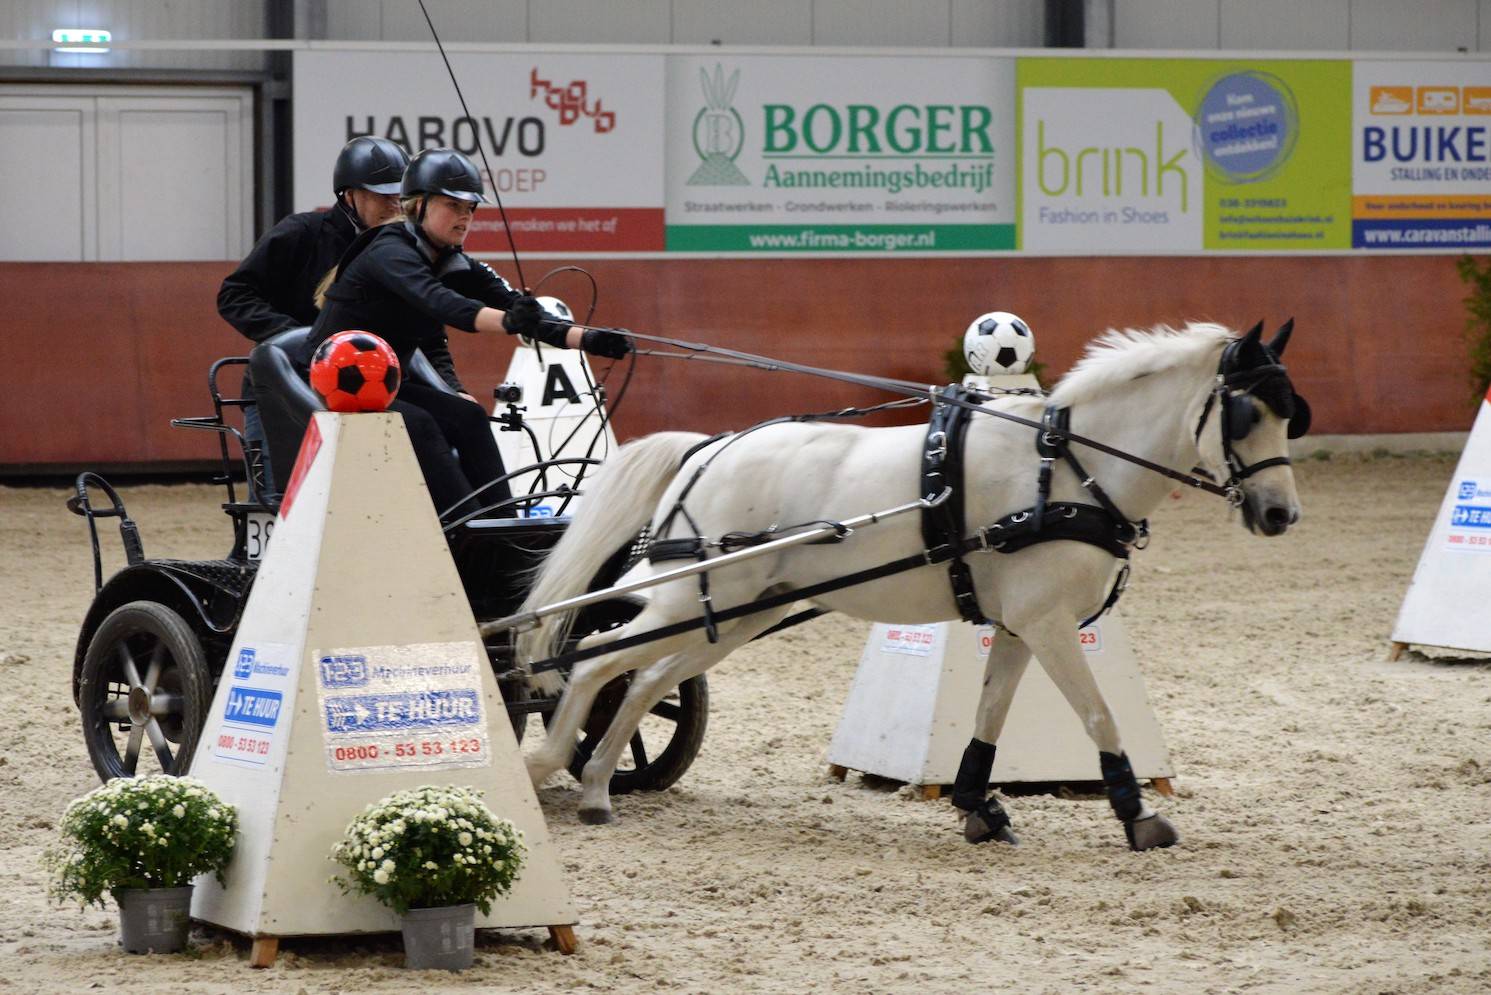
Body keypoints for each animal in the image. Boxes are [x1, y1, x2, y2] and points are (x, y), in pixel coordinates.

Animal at [515, 323, 1306, 853]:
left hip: (736, 612)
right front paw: (1136, 813)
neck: (1065, 471)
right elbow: (1098, 716)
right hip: (692, 599)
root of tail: (711, 446)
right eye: (1246, 413)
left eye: (1288, 412)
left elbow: (988, 719)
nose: (1281, 515)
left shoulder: (1019, 626)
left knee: (649, 679)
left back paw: (597, 786)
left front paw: (978, 808)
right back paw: (555, 765)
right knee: (595, 659)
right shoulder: (1049, 624)